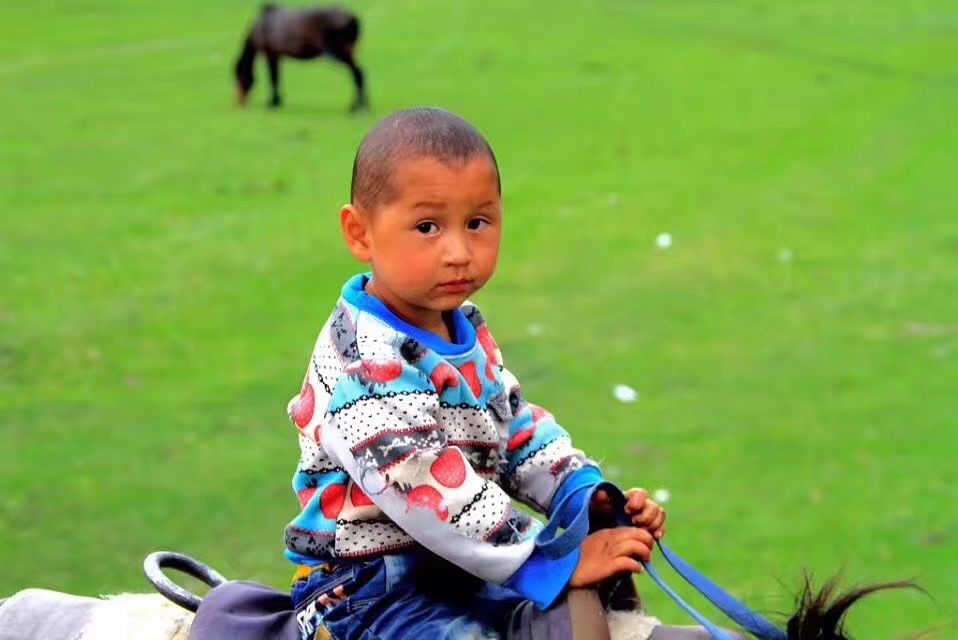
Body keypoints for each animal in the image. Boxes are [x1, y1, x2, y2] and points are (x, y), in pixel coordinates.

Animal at [234, 4, 368, 111]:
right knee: (358, 73)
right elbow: (277, 78)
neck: (262, 25)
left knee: (357, 73)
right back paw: (361, 105)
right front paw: (277, 101)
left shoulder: (270, 54)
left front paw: (273, 103)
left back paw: (356, 107)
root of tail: (353, 18)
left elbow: (273, 79)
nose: (239, 102)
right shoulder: (276, 55)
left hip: (338, 53)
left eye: (239, 76)